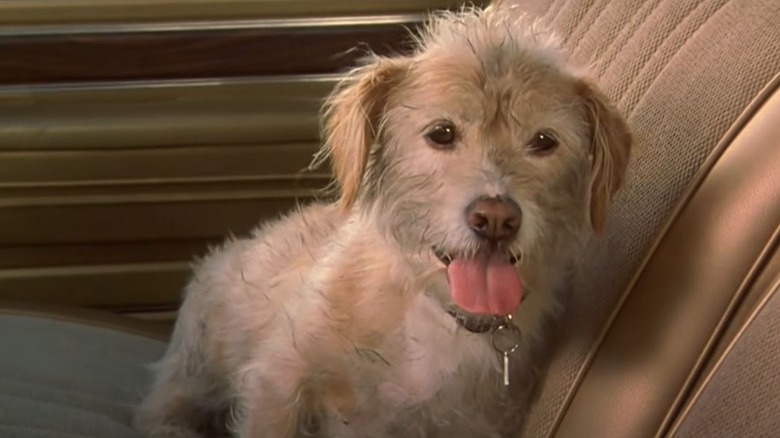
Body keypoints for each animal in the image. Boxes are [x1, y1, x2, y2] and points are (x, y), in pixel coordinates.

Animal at [136, 5, 628, 436]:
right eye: (441, 133)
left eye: (544, 142)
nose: (495, 218)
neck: (437, 315)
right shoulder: (277, 384)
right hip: (198, 354)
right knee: (163, 403)